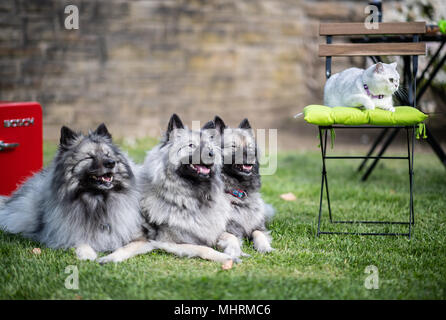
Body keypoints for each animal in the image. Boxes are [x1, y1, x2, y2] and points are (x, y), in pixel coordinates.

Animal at [0, 123, 144, 260]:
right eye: (89, 157)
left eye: (107, 154)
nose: (111, 163)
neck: (96, 201)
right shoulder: (66, 234)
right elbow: (80, 242)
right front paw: (88, 254)